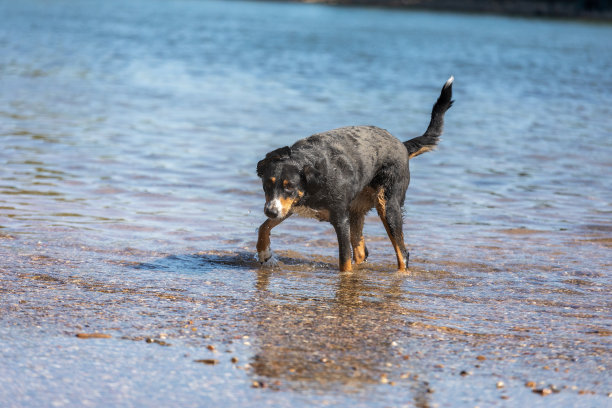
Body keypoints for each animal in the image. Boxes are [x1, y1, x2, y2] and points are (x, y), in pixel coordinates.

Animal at [256, 78, 452, 272]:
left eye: (289, 186)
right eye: (267, 184)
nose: (270, 211)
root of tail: (402, 145)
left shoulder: (340, 220)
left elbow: (344, 261)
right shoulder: (290, 205)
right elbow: (263, 227)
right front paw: (265, 254)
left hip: (388, 206)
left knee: (402, 253)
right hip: (356, 212)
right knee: (361, 252)